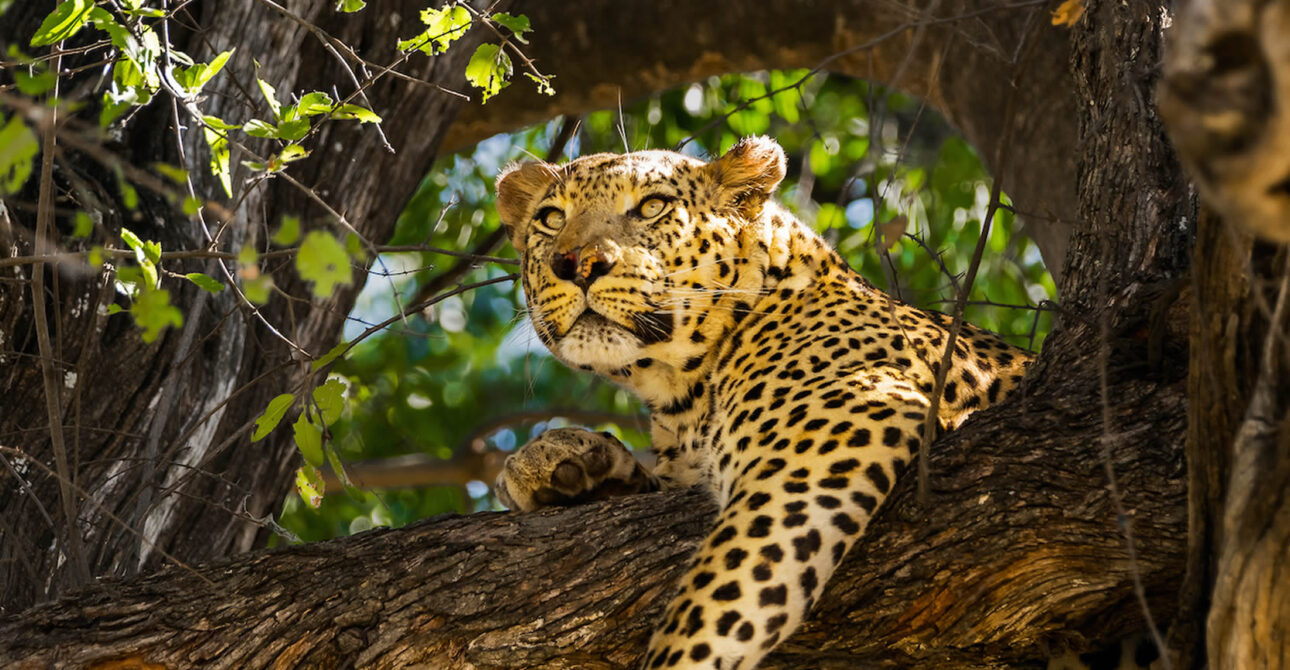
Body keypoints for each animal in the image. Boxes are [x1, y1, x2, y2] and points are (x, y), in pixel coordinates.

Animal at [487, 137, 1032, 670]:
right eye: (550, 218)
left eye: (652, 207)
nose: (576, 264)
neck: (680, 399)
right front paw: (560, 464)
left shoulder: (840, 417)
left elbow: (716, 593)